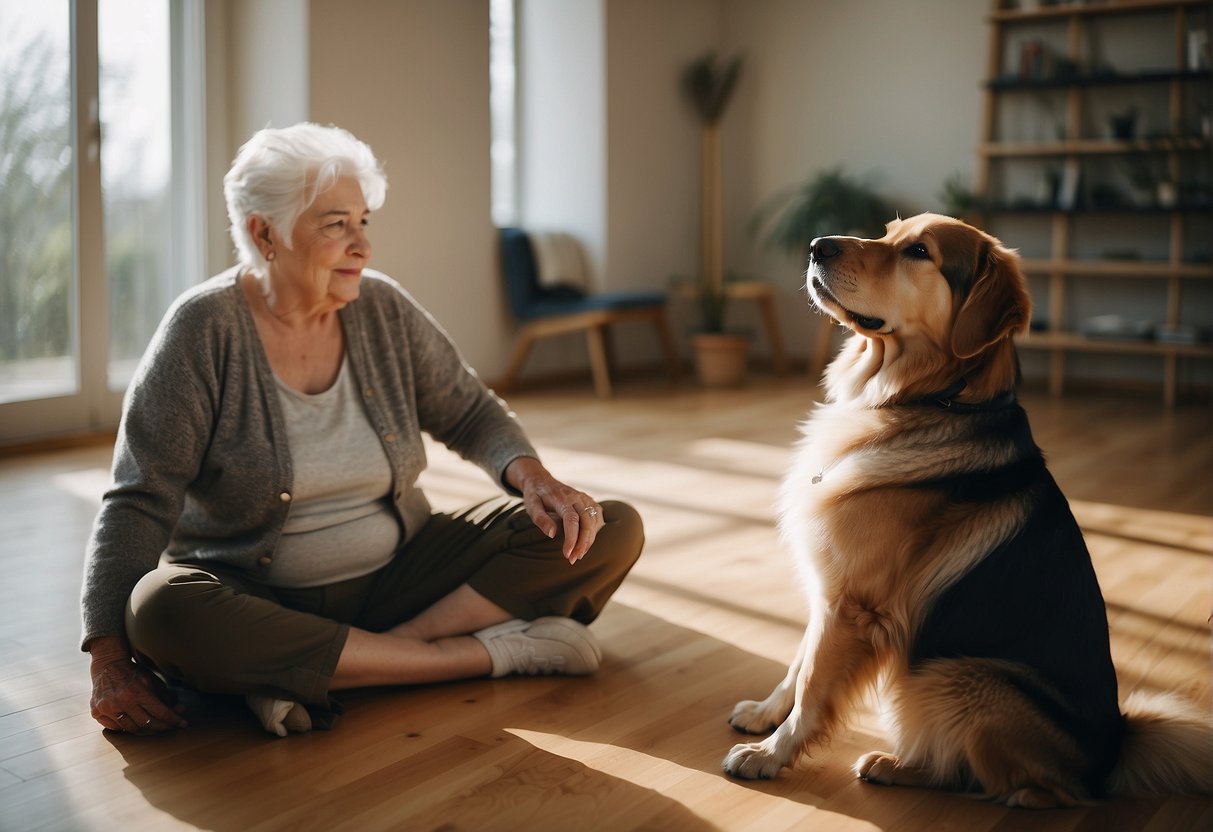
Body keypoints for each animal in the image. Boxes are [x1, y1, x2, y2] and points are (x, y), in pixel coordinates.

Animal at [718, 213, 1213, 810]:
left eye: (918, 253)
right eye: (887, 232)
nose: (817, 245)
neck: (926, 400)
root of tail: (1114, 747)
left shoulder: (853, 605)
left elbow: (814, 685)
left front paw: (770, 755)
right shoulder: (830, 593)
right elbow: (797, 665)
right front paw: (765, 715)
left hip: (955, 674)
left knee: (1028, 786)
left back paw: (959, 781)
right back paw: (895, 765)